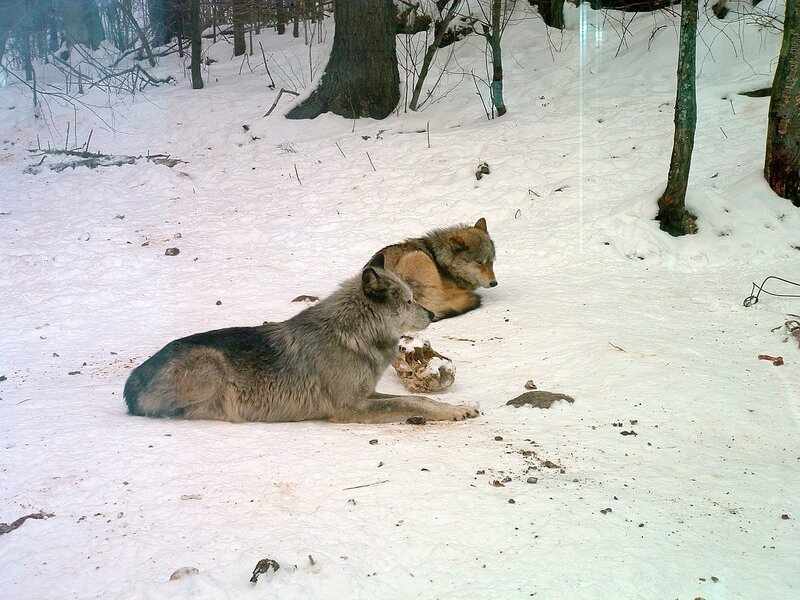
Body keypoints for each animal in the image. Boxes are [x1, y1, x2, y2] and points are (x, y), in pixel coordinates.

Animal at [123, 255, 480, 424]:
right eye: (407, 301)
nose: (431, 315)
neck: (353, 334)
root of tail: (130, 382)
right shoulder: (351, 408)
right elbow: (412, 401)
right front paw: (455, 412)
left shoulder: (365, 394)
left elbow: (420, 400)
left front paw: (458, 407)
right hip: (211, 364)